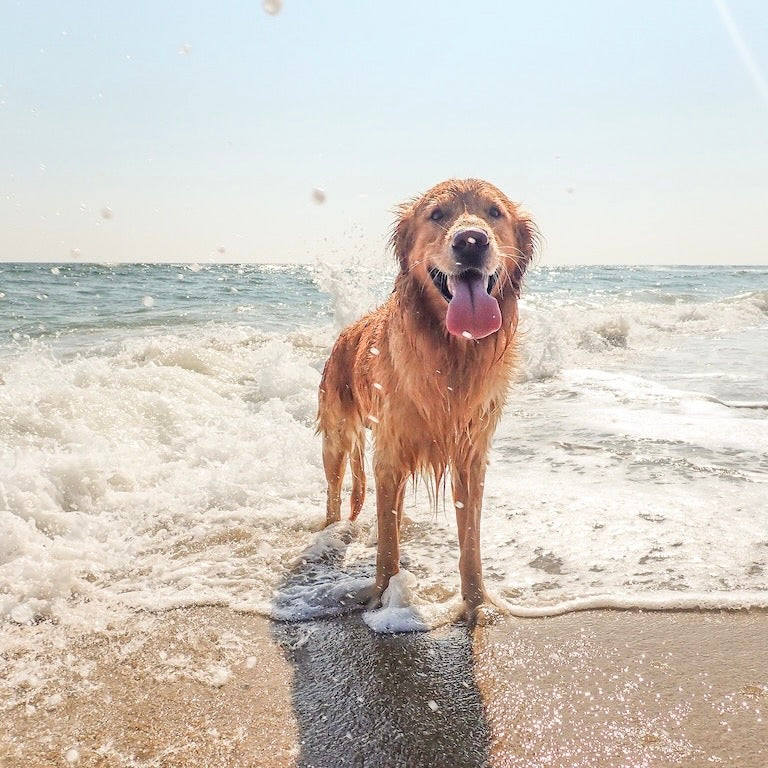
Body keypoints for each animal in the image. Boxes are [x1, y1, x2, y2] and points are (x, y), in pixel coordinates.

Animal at [316, 180, 536, 624]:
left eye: (494, 212)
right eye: (437, 215)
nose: (471, 241)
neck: (451, 354)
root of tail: (345, 333)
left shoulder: (470, 455)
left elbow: (470, 542)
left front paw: (476, 603)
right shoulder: (390, 453)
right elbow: (387, 544)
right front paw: (382, 596)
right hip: (336, 436)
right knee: (334, 491)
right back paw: (333, 534)